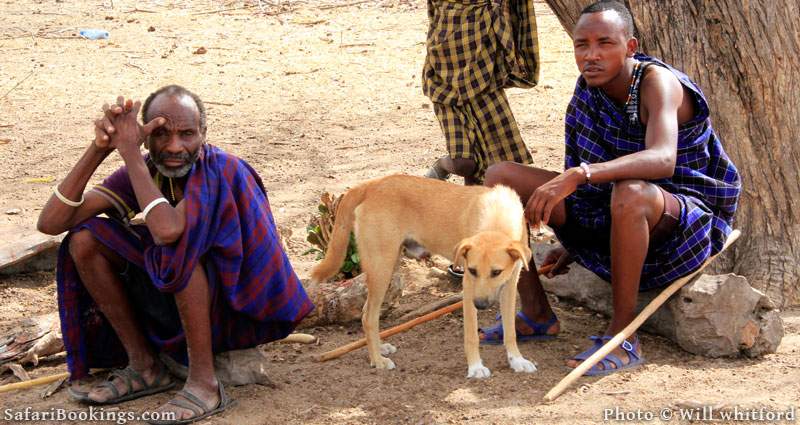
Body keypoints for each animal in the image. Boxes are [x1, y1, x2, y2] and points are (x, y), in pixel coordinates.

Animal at [310, 174, 536, 380]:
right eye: (472, 271)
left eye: (496, 272)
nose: (480, 305)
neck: (497, 218)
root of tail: (371, 184)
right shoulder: (469, 287)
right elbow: (472, 335)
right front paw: (475, 367)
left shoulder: (509, 285)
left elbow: (510, 330)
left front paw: (517, 360)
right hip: (381, 267)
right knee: (368, 317)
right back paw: (377, 360)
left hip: (389, 266)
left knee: (367, 313)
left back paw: (379, 348)